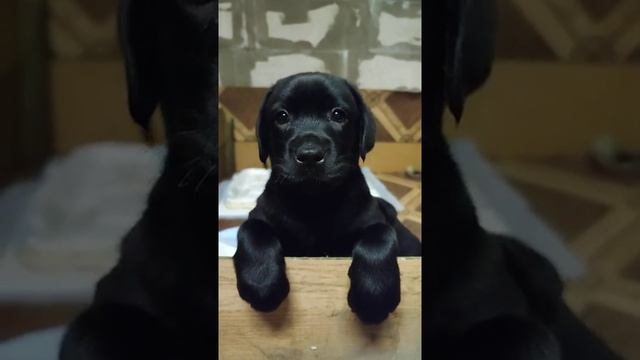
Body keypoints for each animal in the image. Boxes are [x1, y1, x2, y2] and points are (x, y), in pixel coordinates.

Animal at [232, 72, 422, 324]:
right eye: (282, 116)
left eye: (338, 114)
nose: (310, 155)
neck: (317, 202)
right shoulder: (261, 214)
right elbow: (252, 230)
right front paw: (261, 282)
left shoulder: (372, 219)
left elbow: (379, 236)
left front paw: (374, 293)